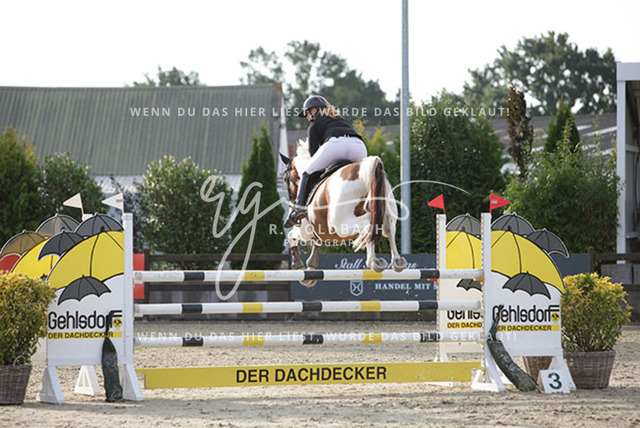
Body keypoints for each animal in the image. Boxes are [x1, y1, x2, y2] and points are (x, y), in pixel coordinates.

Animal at [280, 139, 407, 287]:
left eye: (285, 179)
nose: (292, 206)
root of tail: (362, 171)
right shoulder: (321, 232)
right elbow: (316, 243)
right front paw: (310, 269)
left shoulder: (306, 230)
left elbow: (291, 236)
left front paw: (298, 266)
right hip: (386, 210)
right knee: (387, 227)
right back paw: (397, 261)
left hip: (341, 225)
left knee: (370, 223)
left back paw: (373, 261)